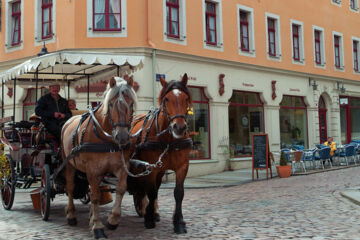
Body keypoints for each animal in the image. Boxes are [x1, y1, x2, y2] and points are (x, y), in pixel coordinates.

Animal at [61, 76, 137, 239]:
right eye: (111, 103)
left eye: (131, 103)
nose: (122, 137)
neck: (106, 138)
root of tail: (68, 121)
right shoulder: (92, 169)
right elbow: (95, 196)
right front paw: (97, 226)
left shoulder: (121, 166)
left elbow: (121, 189)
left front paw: (113, 220)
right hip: (69, 164)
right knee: (70, 188)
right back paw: (71, 215)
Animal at [128, 74, 193, 233]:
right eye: (166, 99)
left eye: (186, 98)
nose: (179, 127)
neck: (168, 140)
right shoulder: (151, 167)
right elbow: (151, 192)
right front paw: (149, 218)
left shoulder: (182, 166)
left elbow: (178, 193)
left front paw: (179, 222)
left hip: (160, 170)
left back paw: (154, 211)